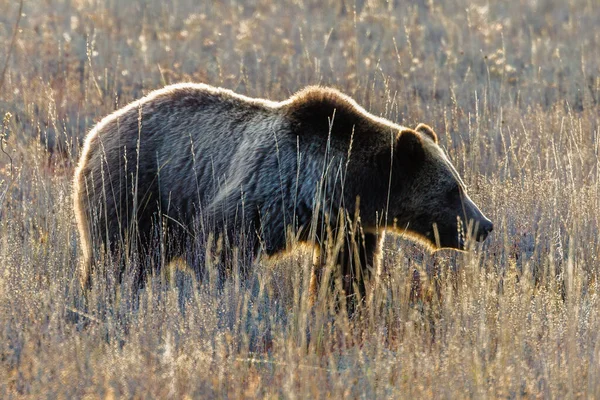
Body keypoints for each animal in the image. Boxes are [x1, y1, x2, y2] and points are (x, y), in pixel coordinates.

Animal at [74, 84, 492, 302]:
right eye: (453, 190)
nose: (484, 225)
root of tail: (94, 133)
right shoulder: (267, 188)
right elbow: (218, 244)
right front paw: (233, 299)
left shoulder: (347, 227)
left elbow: (348, 270)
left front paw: (343, 308)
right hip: (135, 187)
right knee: (118, 256)